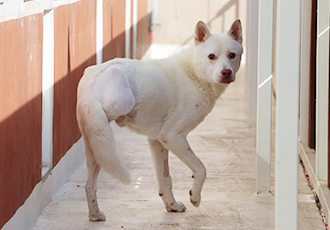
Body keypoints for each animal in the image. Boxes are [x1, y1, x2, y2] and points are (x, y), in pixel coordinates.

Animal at [76, 19, 242, 221]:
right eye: (211, 56)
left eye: (232, 55)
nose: (226, 72)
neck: (193, 73)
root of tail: (91, 76)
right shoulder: (173, 137)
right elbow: (201, 168)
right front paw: (195, 197)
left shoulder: (157, 141)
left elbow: (165, 178)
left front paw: (172, 205)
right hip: (122, 97)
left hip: (96, 148)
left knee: (89, 185)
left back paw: (95, 215)